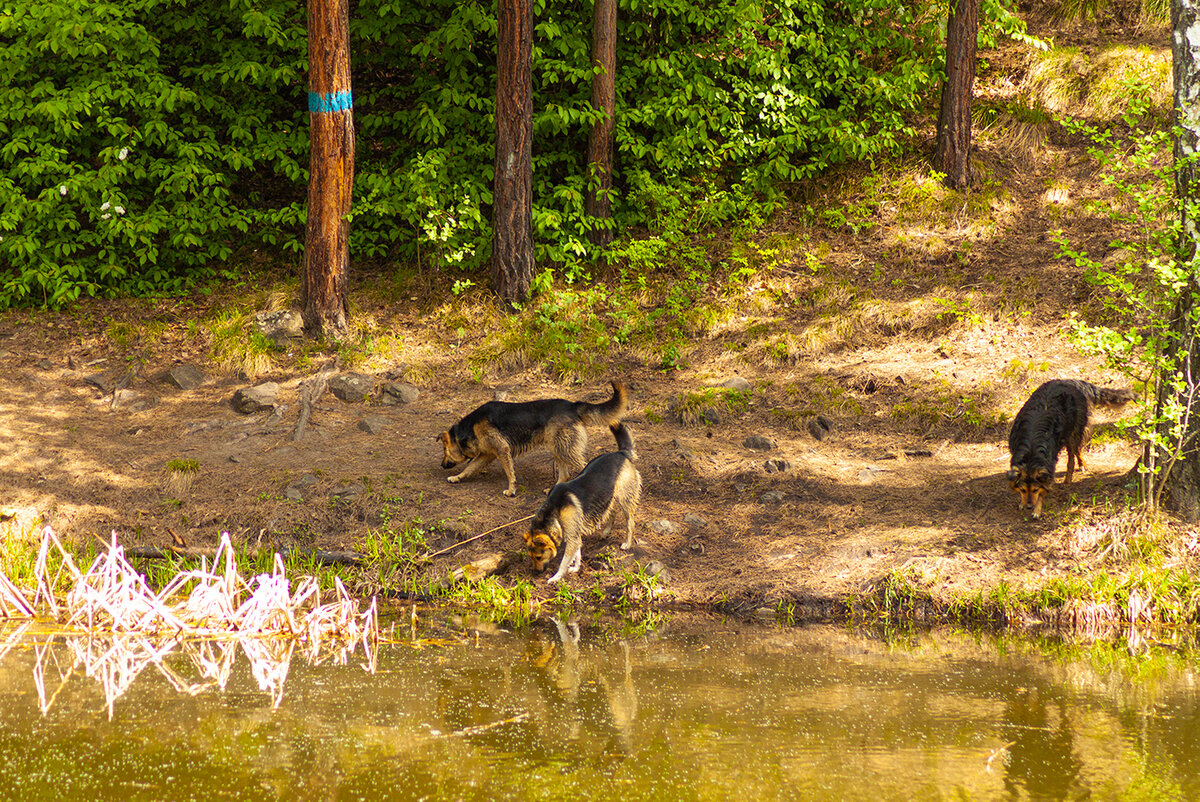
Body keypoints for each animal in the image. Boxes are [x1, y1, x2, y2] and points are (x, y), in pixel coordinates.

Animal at [439, 381, 628, 494]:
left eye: (445, 451)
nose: (441, 465)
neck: (469, 429)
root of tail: (573, 406)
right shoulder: (488, 454)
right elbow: (469, 468)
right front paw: (457, 478)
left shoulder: (502, 451)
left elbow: (509, 473)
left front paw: (511, 490)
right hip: (558, 449)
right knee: (565, 475)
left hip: (564, 450)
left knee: (585, 467)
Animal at [523, 422, 643, 585]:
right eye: (531, 557)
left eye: (539, 557)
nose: (535, 573)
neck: (554, 510)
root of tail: (621, 453)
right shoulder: (575, 534)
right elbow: (577, 554)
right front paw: (576, 567)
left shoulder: (572, 537)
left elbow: (564, 562)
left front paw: (556, 577)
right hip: (608, 496)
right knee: (612, 512)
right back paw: (606, 532)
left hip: (625, 498)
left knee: (630, 523)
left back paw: (627, 543)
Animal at [1003, 376, 1132, 516]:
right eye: (1023, 490)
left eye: (1036, 490)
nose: (1029, 507)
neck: (1031, 452)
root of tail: (1072, 381)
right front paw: (1022, 502)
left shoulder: (1048, 466)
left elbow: (1044, 490)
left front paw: (1037, 510)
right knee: (1076, 450)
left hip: (1073, 431)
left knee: (1073, 454)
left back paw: (1070, 476)